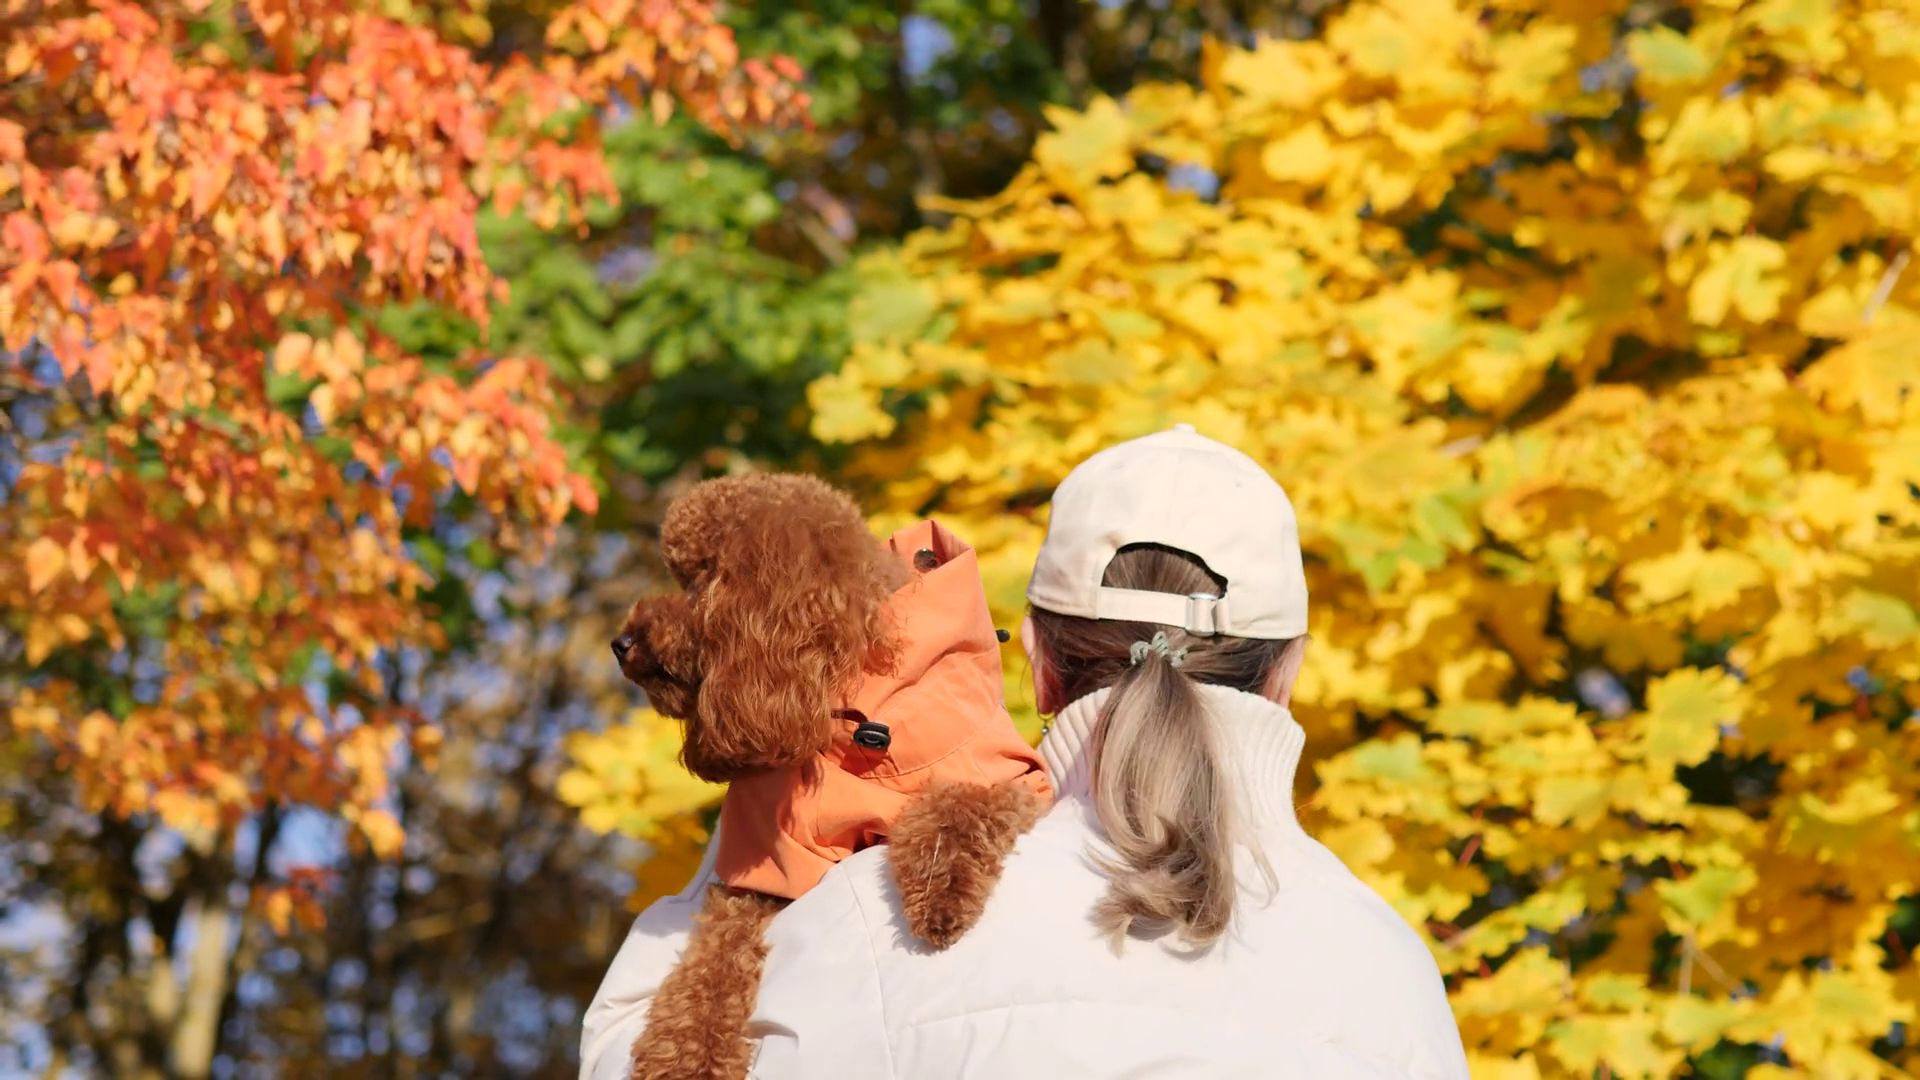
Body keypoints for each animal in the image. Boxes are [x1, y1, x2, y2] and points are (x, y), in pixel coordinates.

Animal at [611, 472, 1054, 1080]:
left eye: (697, 583)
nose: (620, 643)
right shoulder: (768, 867)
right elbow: (713, 958)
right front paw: (684, 1053)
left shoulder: (1011, 778)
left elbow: (960, 806)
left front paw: (940, 891)